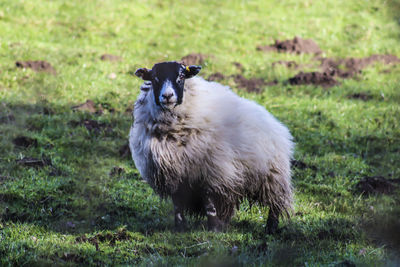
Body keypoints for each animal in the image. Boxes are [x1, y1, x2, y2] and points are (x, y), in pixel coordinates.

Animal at [129, 61, 294, 233]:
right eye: (155, 78)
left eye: (181, 76)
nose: (167, 96)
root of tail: (275, 122)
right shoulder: (174, 172)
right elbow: (177, 204)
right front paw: (180, 227)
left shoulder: (211, 171)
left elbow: (209, 203)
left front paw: (214, 229)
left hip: (273, 176)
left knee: (275, 205)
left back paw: (270, 228)